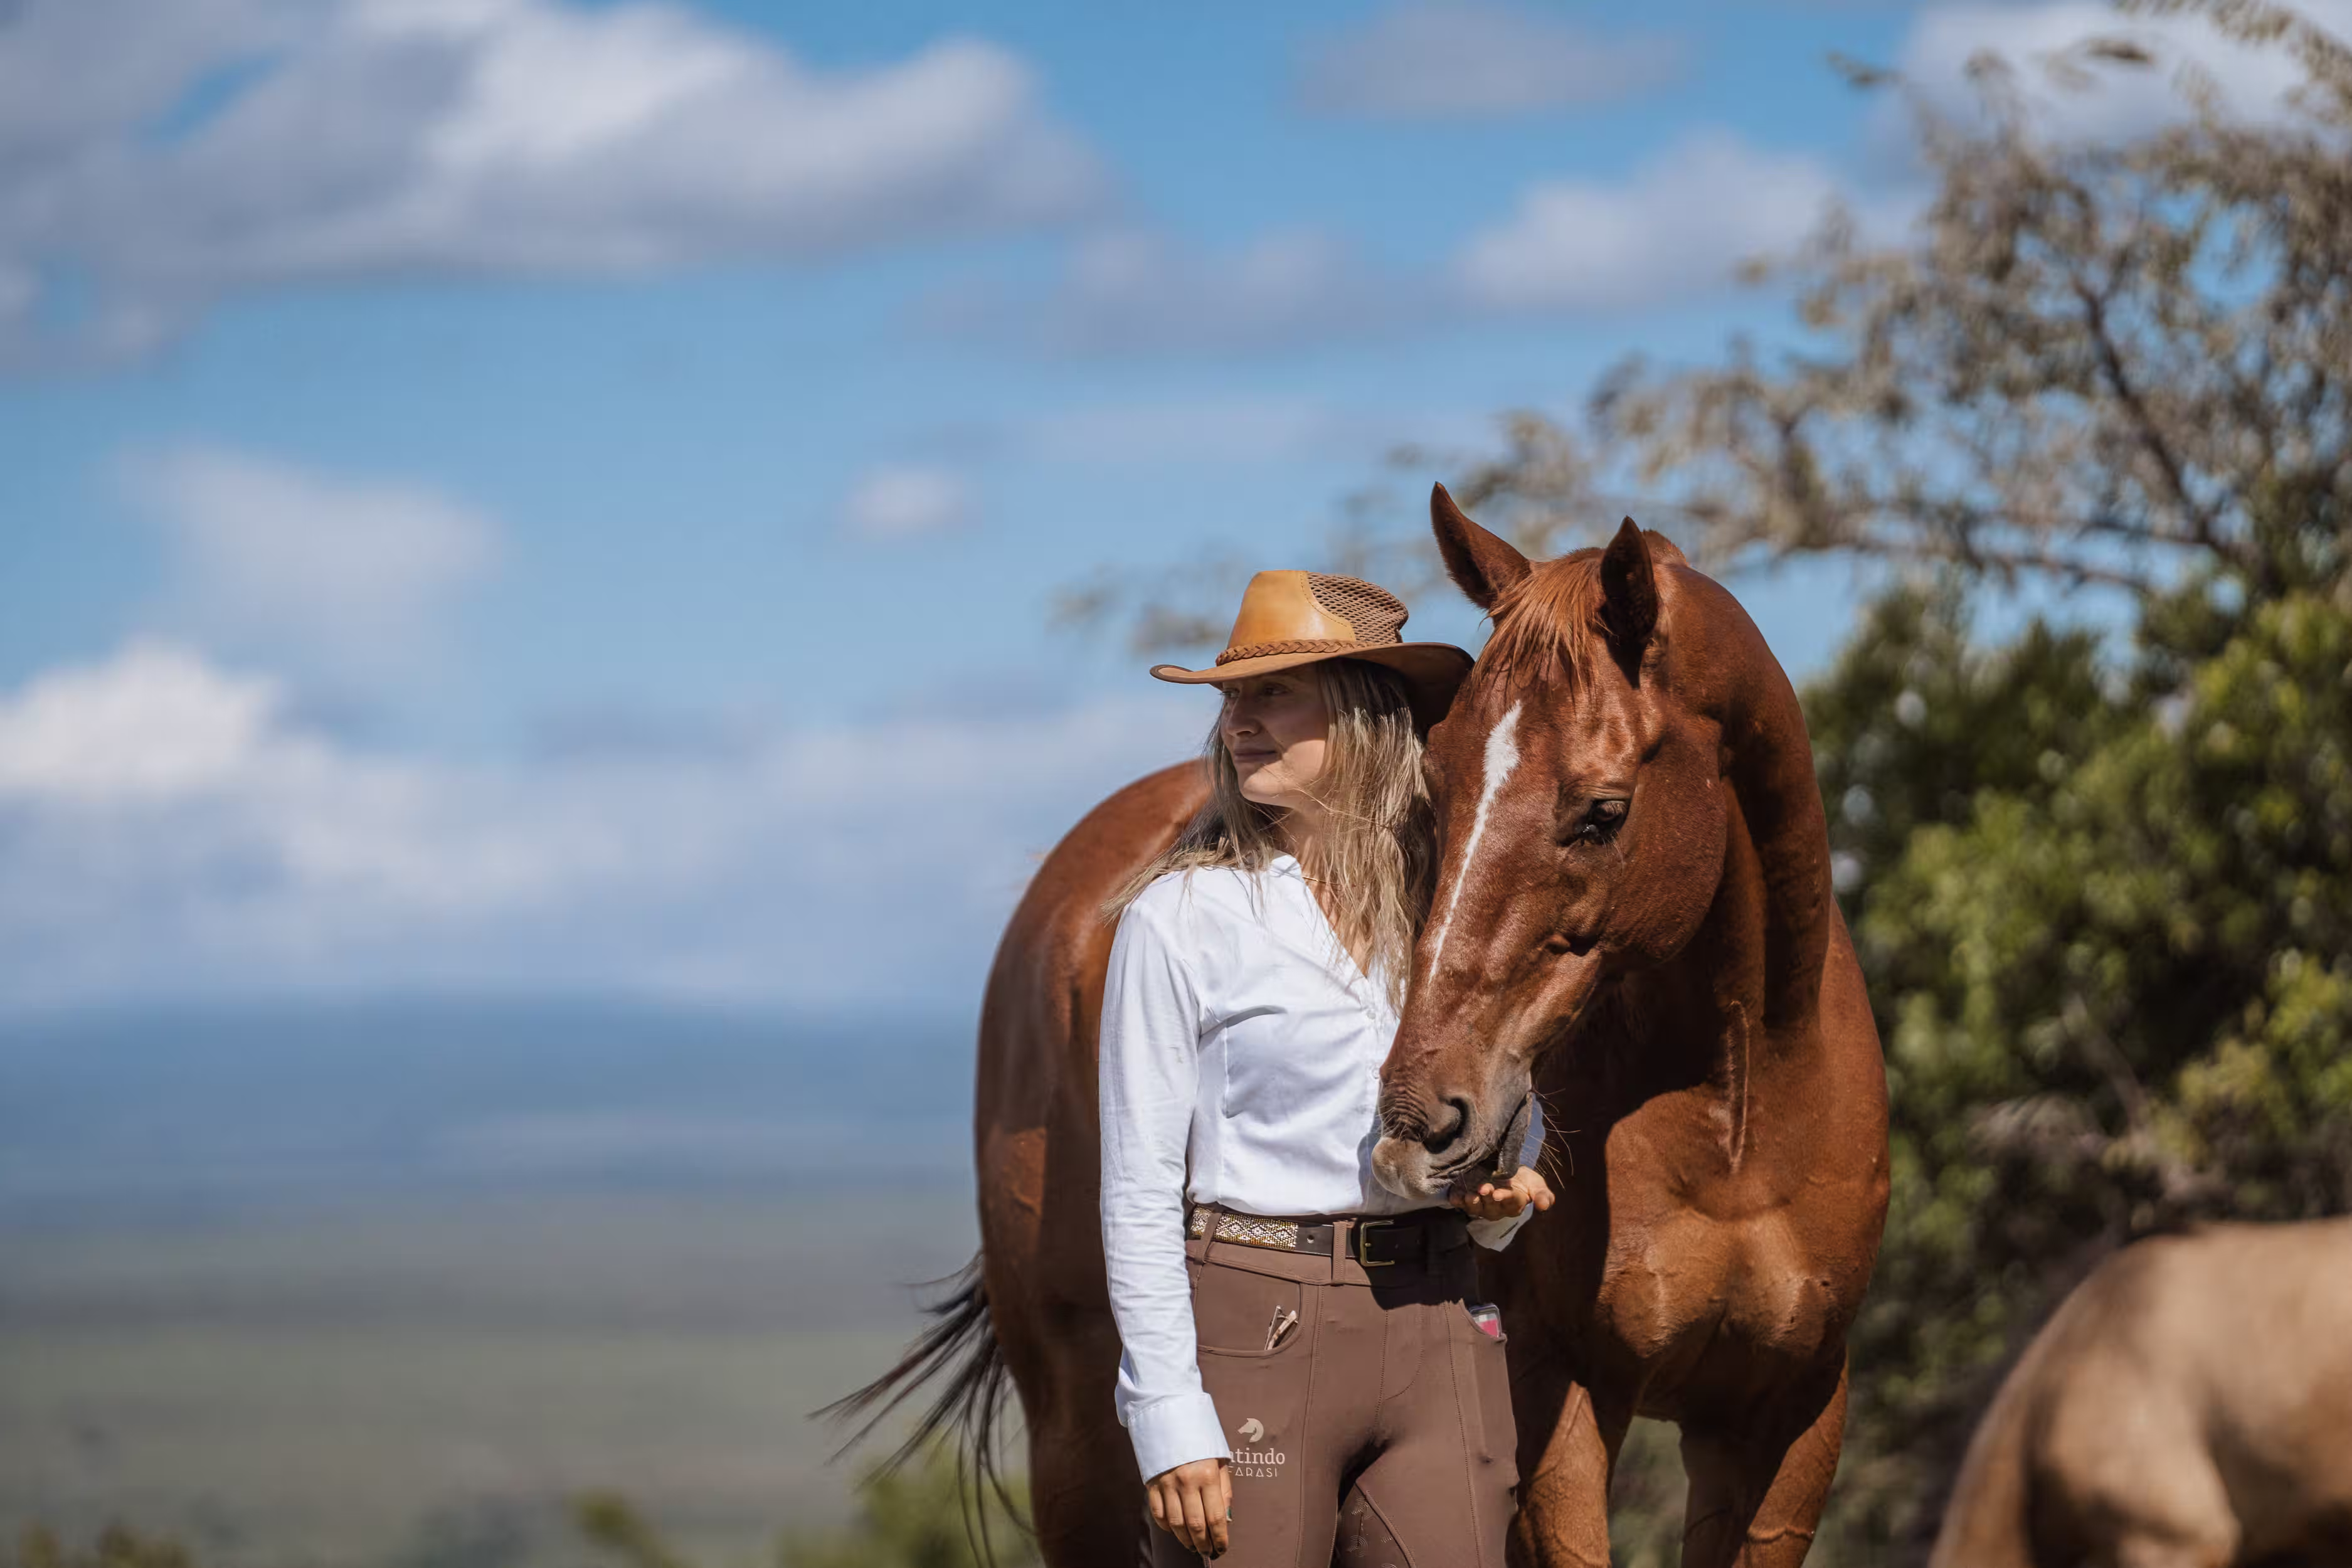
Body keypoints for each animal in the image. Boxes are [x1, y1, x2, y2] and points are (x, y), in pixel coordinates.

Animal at [831, 483, 1889, 1568]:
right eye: (1437, 787)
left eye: (1602, 811)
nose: (1423, 1119)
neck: (1733, 1128)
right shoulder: (1557, 1404)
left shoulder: (1785, 1423)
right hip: (1078, 1431)